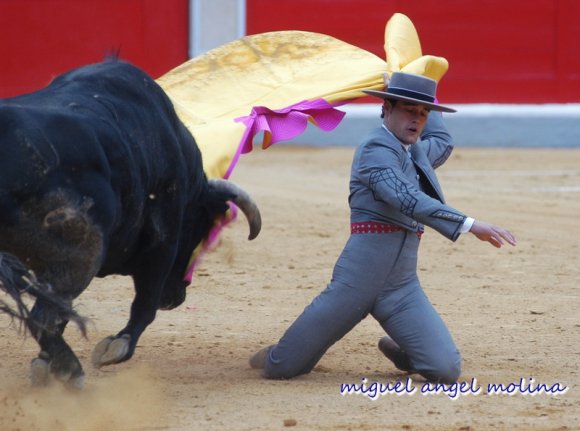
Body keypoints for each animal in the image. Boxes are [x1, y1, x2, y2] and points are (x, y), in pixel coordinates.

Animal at [0, 60, 260, 388]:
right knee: (43, 317)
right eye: (199, 230)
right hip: (79, 254)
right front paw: (116, 346)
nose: (174, 298)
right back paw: (73, 371)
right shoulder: (162, 242)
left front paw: (45, 363)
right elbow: (145, 304)